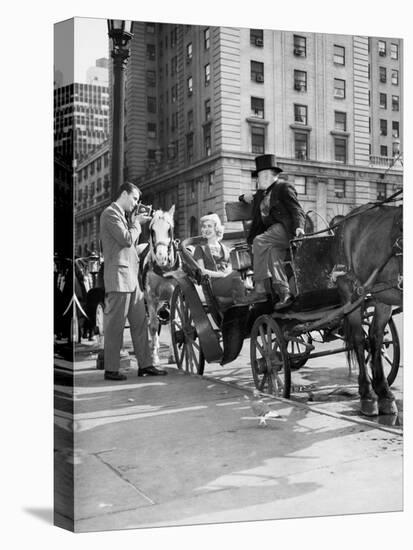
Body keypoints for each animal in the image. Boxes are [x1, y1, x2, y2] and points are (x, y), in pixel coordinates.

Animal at [334, 203, 400, 418]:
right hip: (351, 291)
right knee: (358, 339)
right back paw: (367, 395)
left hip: (382, 296)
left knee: (375, 336)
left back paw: (384, 392)